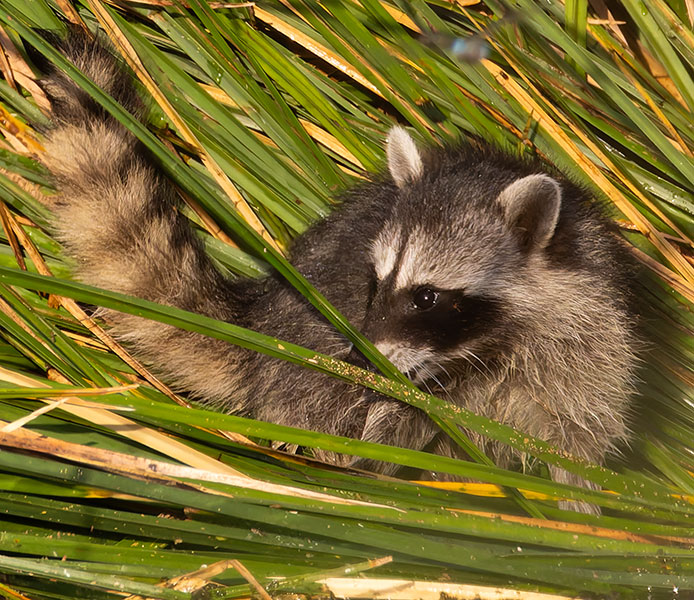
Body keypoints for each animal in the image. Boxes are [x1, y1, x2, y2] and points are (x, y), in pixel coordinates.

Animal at [38, 34, 637, 513]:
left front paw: (590, 518)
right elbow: (386, 426)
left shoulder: (589, 340)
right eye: (374, 283)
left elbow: (581, 444)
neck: (484, 347)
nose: (359, 360)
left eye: (426, 297)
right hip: (303, 367)